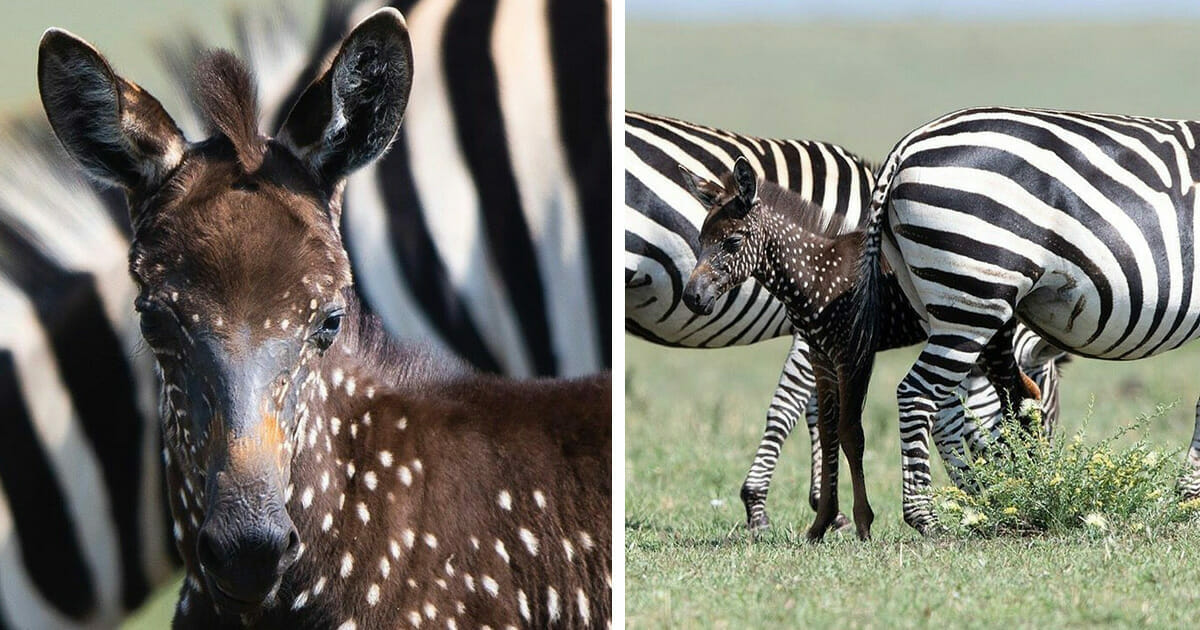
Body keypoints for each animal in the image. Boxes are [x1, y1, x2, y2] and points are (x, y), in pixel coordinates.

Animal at [624, 111, 1065, 530]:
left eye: (732, 242)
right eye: (699, 241)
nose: (693, 297)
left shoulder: (835, 345)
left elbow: (826, 419)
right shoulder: (819, 344)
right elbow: (813, 416)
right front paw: (793, 511)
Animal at [859, 106, 1200, 530]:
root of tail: (907, 145)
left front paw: (1189, 496)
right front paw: (1190, 498)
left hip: (943, 302)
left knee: (949, 403)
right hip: (975, 294)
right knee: (917, 394)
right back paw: (927, 516)